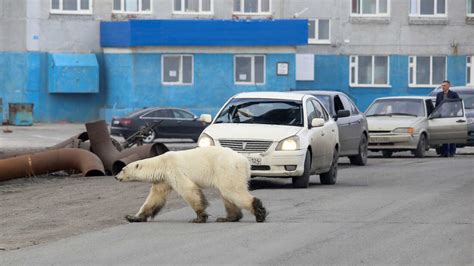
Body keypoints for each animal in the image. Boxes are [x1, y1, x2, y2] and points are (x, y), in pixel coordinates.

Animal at [115, 147, 266, 223]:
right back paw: (227, 218)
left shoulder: (174, 170)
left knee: (232, 191)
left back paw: (259, 212)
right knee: (227, 195)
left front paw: (199, 218)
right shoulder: (163, 180)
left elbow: (189, 190)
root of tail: (245, 161)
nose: (116, 177)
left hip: (227, 168)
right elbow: (155, 198)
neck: (161, 163)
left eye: (123, 169)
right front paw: (133, 217)